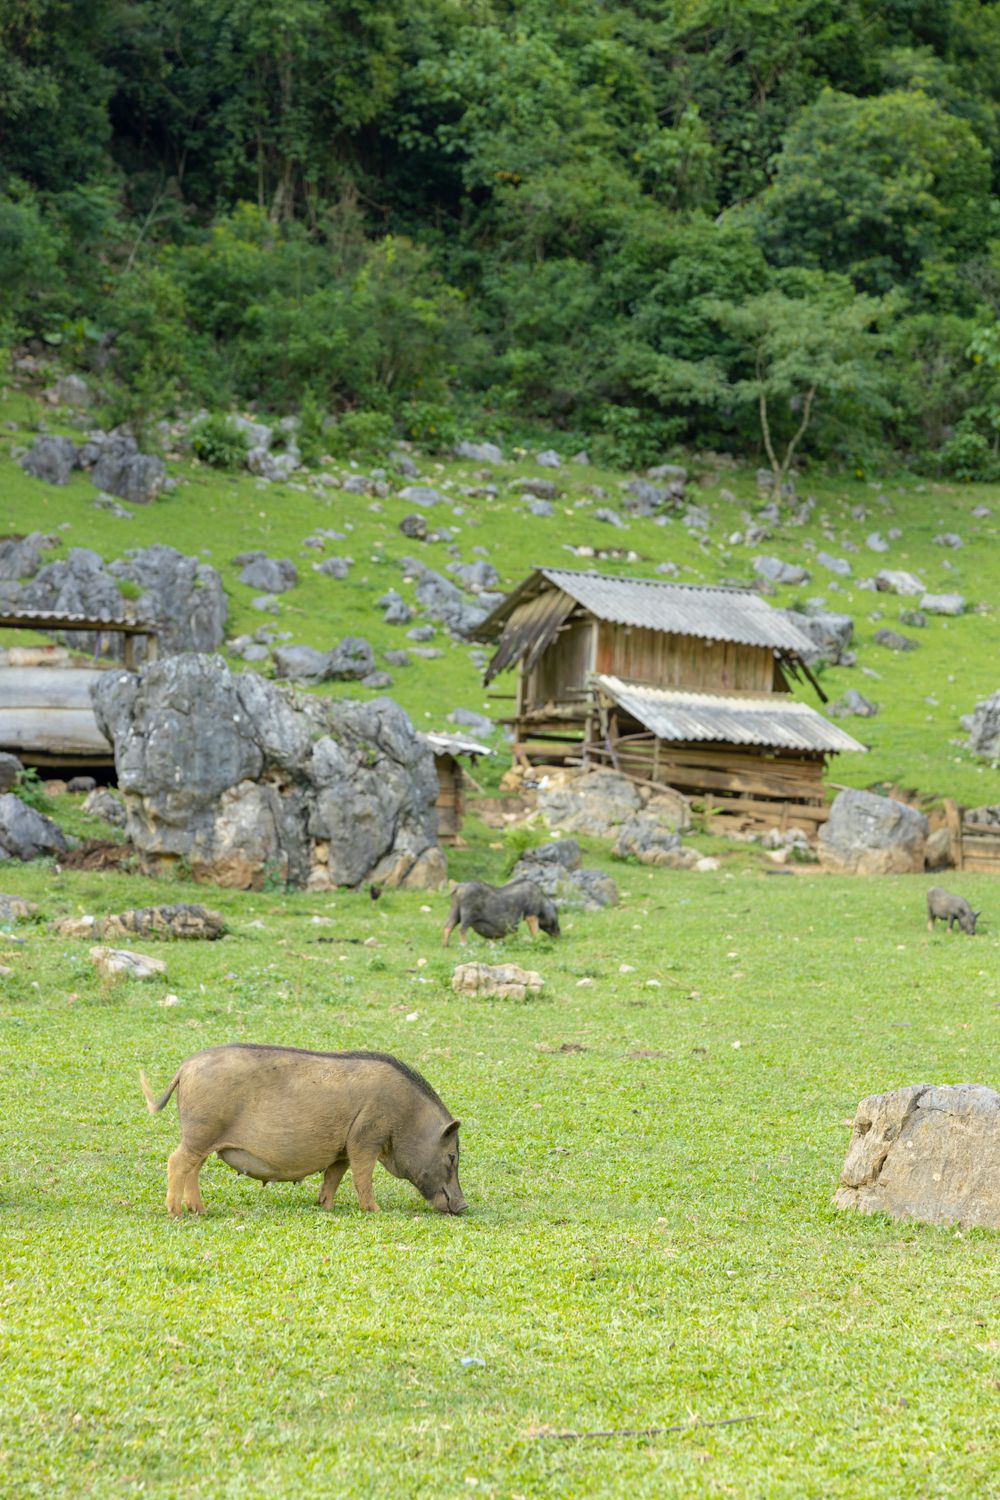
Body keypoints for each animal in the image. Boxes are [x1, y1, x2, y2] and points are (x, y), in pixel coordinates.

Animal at [140, 1043, 466, 1217]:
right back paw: (177, 1213)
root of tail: (185, 1068)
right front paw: (374, 1210)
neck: (407, 1116)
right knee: (177, 1162)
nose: (463, 1206)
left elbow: (334, 1176)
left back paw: (200, 1210)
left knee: (192, 1168)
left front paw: (326, 1207)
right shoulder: (365, 1138)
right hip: (201, 1132)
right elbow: (363, 1176)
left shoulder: (342, 1149)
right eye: (452, 1156)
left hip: (204, 1138)